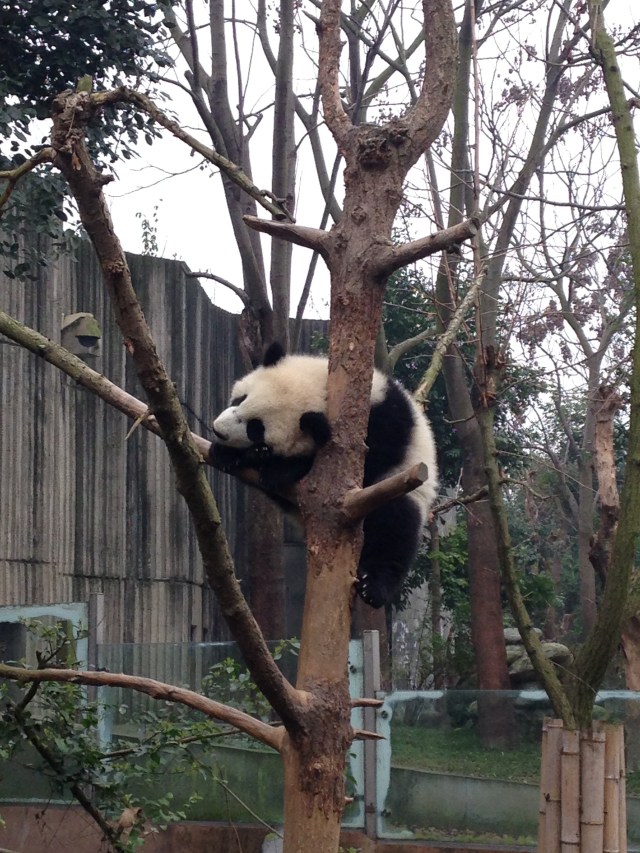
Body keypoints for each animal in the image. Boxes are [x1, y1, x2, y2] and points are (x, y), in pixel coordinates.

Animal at [210, 342, 438, 608]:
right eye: (240, 399)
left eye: (256, 428)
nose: (218, 430)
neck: (322, 393)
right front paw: (230, 454)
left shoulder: (386, 420)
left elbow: (371, 459)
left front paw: (279, 467)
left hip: (400, 487)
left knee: (394, 527)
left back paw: (374, 587)